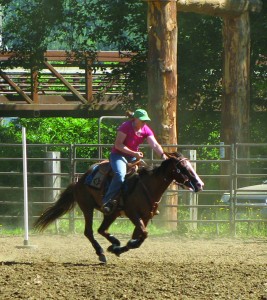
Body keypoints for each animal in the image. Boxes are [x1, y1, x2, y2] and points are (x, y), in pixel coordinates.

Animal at [34, 151, 205, 264]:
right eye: (183, 168)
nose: (199, 184)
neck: (147, 186)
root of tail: (79, 181)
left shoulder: (145, 217)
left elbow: (139, 236)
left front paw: (120, 248)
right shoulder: (133, 213)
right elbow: (144, 234)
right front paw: (120, 247)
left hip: (112, 213)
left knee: (101, 230)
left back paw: (114, 243)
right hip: (87, 207)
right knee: (89, 231)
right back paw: (101, 252)